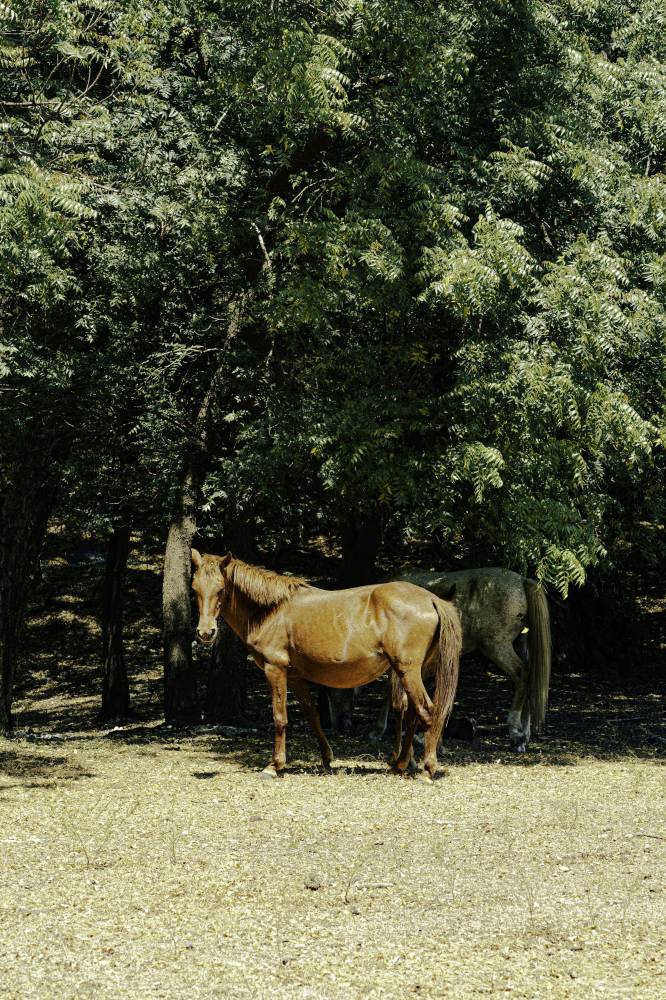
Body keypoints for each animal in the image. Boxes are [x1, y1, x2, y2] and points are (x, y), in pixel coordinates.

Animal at [191, 550, 462, 780]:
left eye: (221, 588)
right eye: (195, 589)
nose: (206, 633)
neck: (271, 611)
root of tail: (431, 598)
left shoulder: (274, 669)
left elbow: (279, 717)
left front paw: (274, 765)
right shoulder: (295, 676)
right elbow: (312, 715)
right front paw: (327, 759)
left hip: (407, 670)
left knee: (427, 711)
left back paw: (427, 768)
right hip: (410, 672)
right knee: (415, 713)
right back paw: (401, 764)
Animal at [326, 567, 551, 752]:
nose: (341, 726)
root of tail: (522, 580)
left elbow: (391, 691)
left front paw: (379, 730)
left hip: (497, 646)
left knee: (522, 675)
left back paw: (515, 732)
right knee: (530, 677)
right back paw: (524, 734)